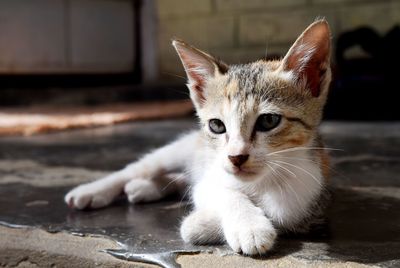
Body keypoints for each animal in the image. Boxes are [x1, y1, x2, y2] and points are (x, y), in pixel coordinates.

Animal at [65, 19, 332, 255]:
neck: (260, 183)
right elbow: (220, 192)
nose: (236, 157)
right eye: (216, 125)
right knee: (137, 169)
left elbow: (281, 215)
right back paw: (94, 191)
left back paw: (143, 188)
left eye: (268, 121)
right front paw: (248, 226)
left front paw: (207, 224)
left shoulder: (309, 198)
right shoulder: (211, 175)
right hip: (180, 150)